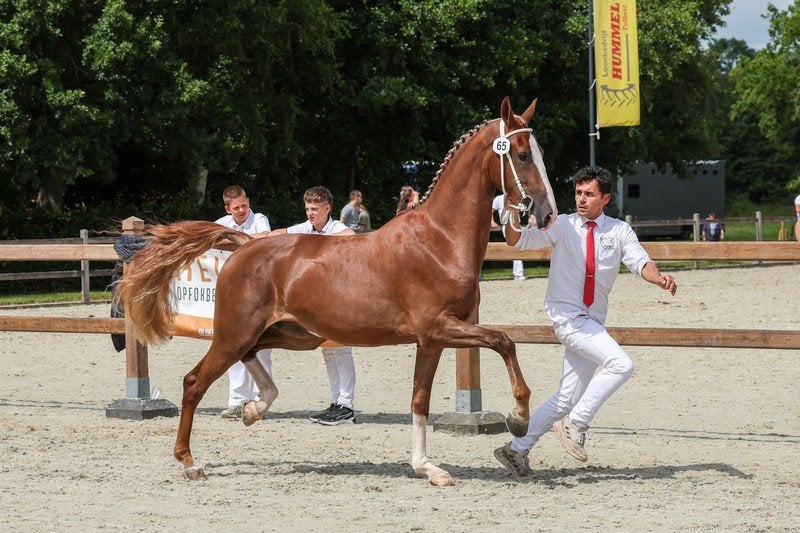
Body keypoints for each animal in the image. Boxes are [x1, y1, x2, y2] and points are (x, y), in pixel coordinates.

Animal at [117, 97, 558, 486]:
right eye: (521, 154)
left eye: (538, 151)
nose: (546, 212)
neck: (439, 240)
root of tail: (244, 244)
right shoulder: (438, 328)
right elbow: (503, 341)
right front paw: (518, 417)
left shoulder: (431, 340)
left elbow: (420, 401)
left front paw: (428, 469)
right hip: (235, 332)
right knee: (195, 381)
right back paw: (191, 462)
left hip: (293, 335)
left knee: (252, 359)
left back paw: (253, 410)